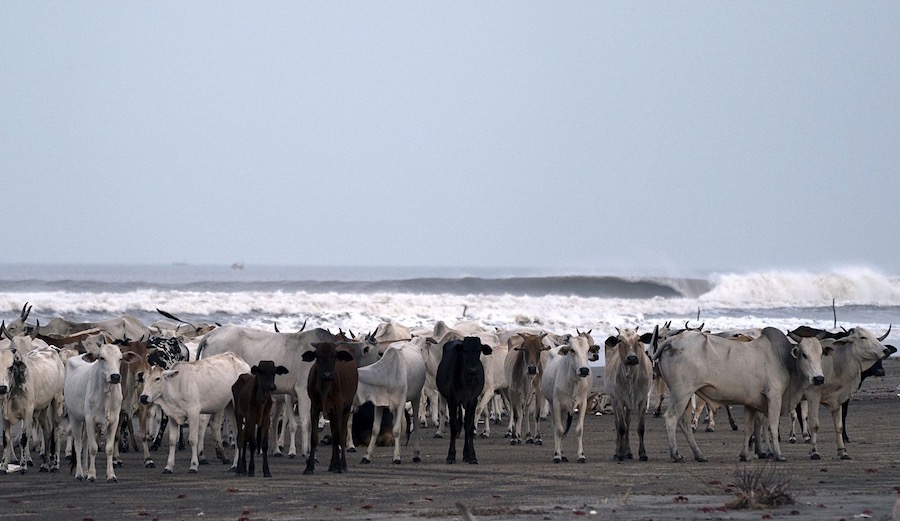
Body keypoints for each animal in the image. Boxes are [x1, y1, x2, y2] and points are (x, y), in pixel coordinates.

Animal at [65, 344, 141, 482]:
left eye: (120, 359)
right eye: (102, 358)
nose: (115, 376)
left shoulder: (114, 421)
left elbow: (109, 448)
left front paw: (111, 475)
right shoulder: (90, 420)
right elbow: (93, 448)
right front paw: (92, 475)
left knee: (85, 442)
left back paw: (85, 470)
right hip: (74, 417)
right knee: (78, 444)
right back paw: (80, 473)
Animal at [304, 340, 356, 474]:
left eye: (334, 356)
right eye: (318, 356)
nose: (327, 374)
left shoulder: (338, 407)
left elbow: (338, 437)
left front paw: (339, 466)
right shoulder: (314, 408)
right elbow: (314, 438)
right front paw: (309, 467)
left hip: (347, 408)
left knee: (341, 435)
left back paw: (342, 465)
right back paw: (332, 465)